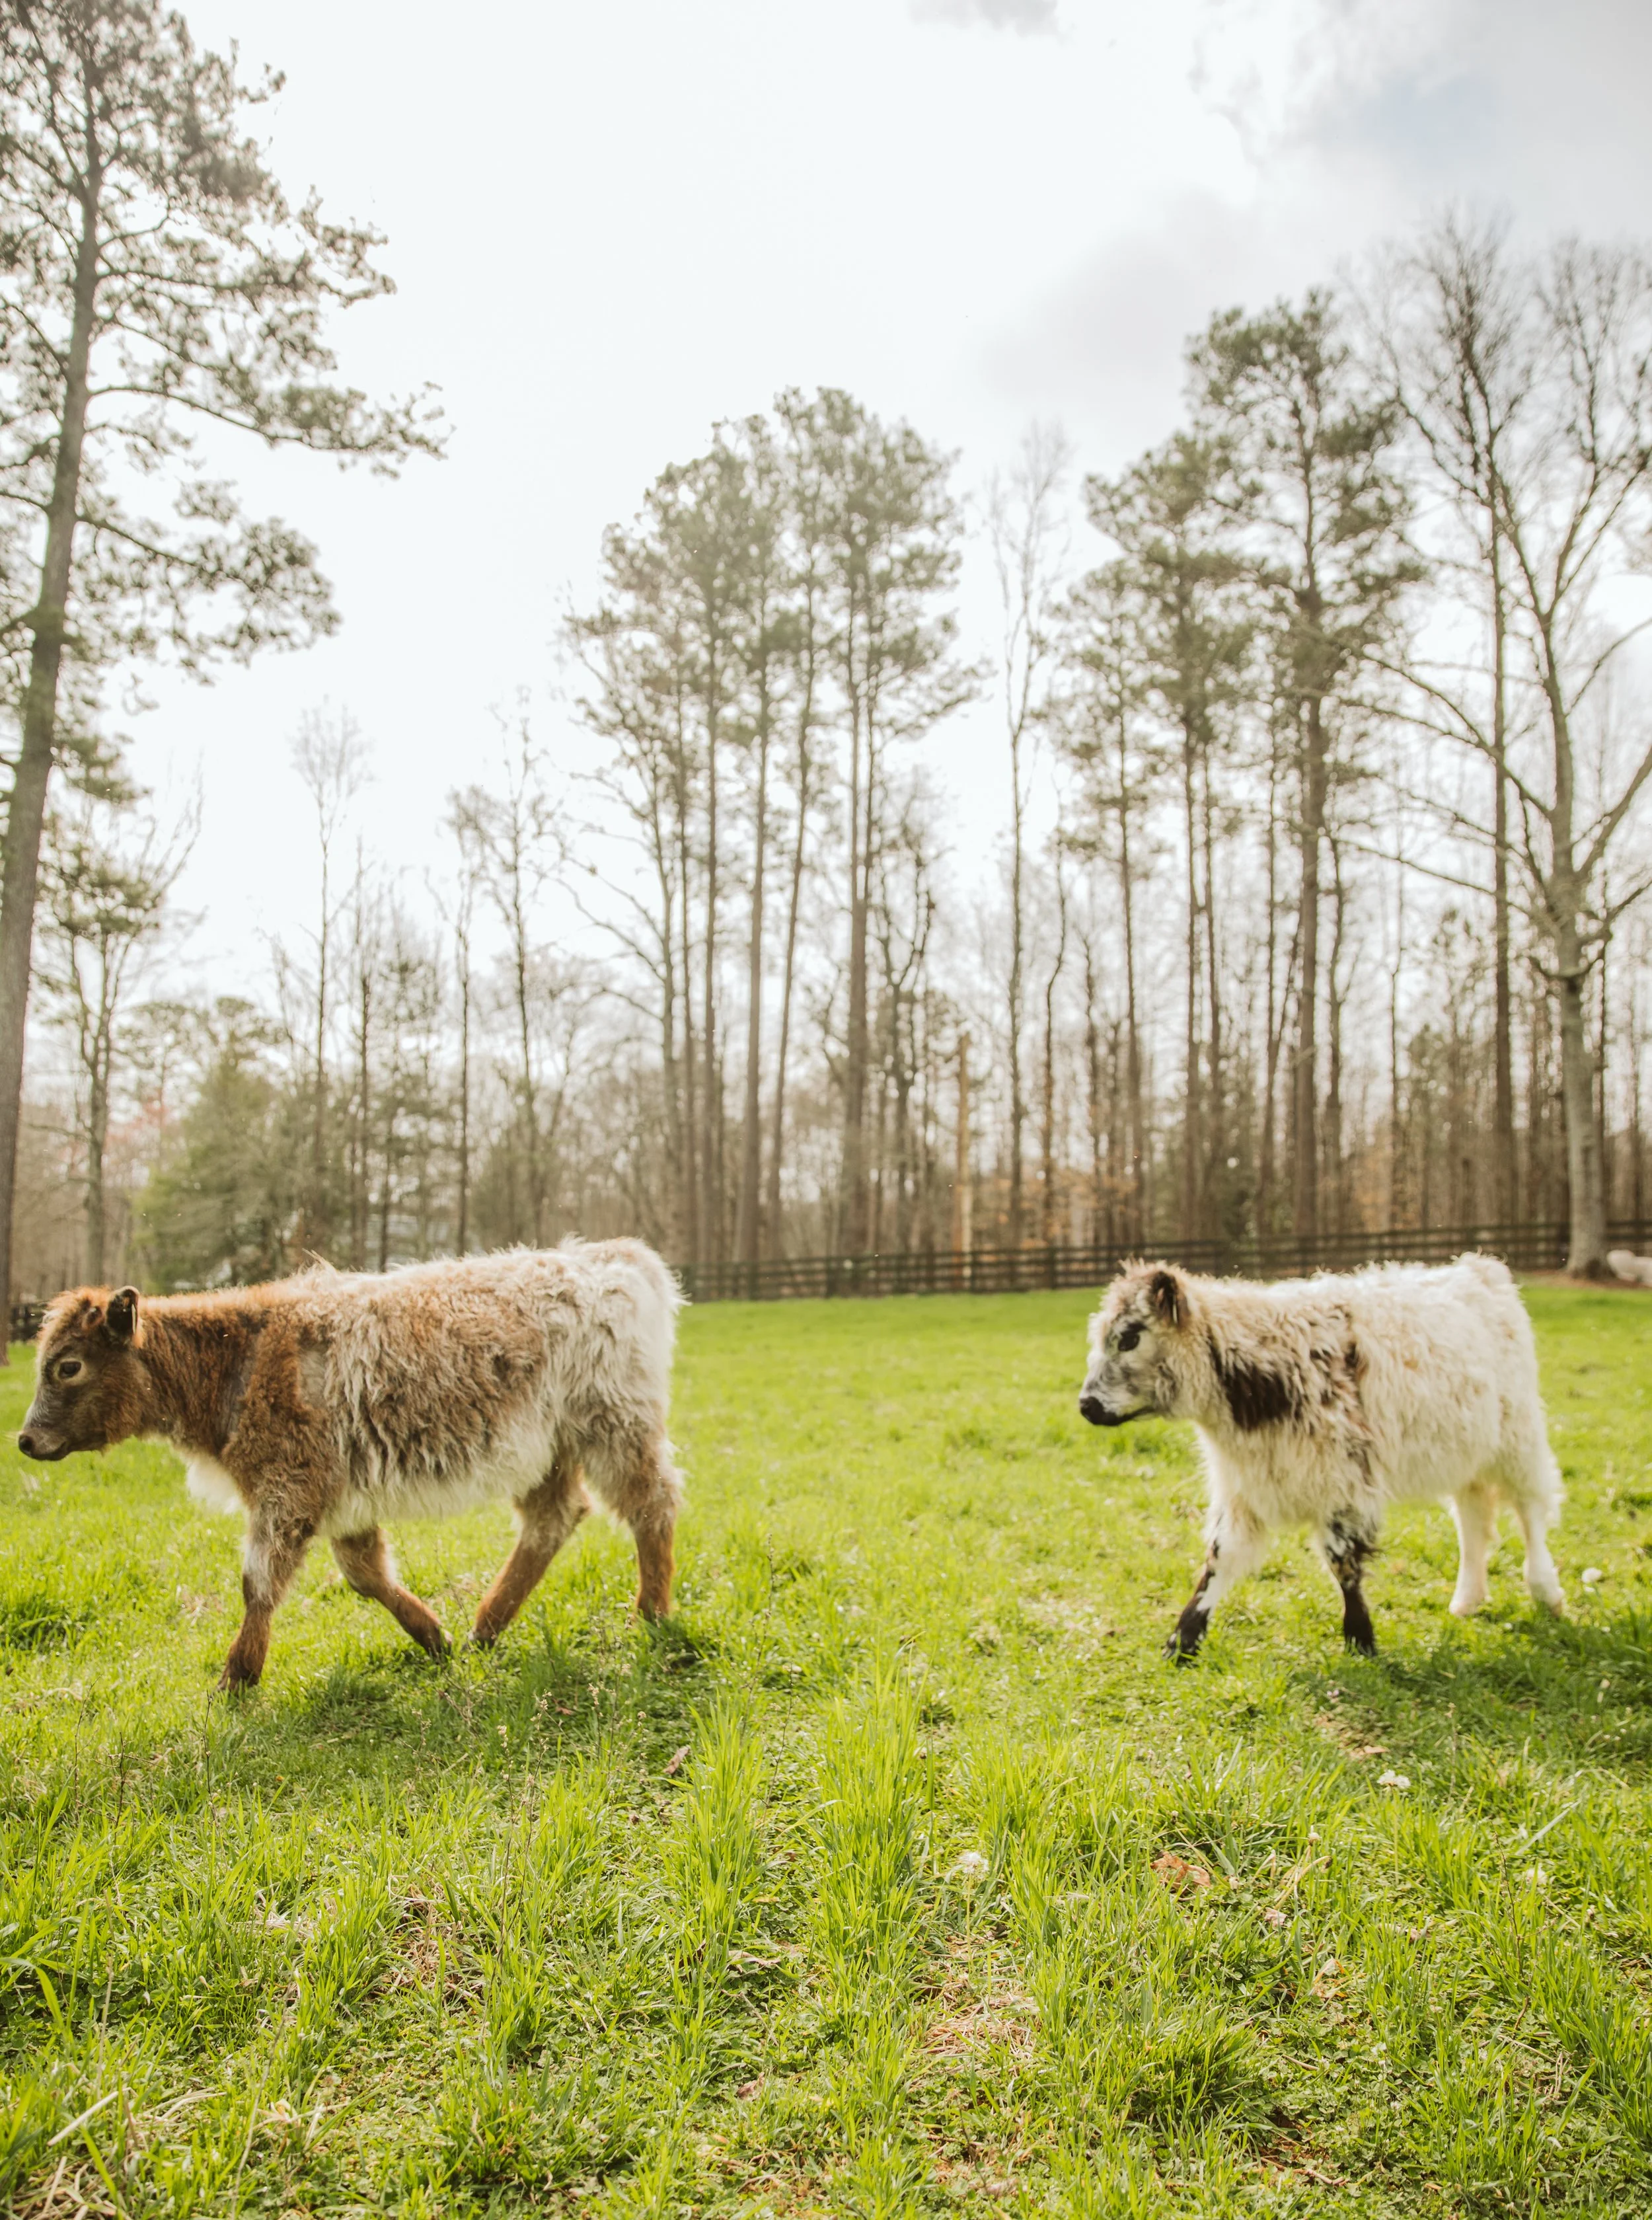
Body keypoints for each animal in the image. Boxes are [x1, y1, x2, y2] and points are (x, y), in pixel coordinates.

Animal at [16, 1240, 684, 1690]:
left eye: (68, 1366)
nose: (25, 1438)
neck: (239, 1358)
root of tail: (614, 1256)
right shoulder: (338, 1494)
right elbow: (365, 1573)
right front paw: (433, 1636)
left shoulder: (287, 1488)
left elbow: (259, 1584)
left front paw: (237, 1676)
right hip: (549, 1449)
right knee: (553, 1519)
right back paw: (485, 1626)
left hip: (615, 1425)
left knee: (651, 1502)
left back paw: (652, 1614)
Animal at [1078, 1253, 1565, 1660]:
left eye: (1130, 1337)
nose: (1086, 1405)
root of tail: (1478, 1268)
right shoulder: (1243, 1488)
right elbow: (1220, 1560)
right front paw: (1183, 1641)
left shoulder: (1343, 1481)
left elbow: (1342, 1561)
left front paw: (1361, 1639)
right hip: (1466, 1450)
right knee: (1472, 1518)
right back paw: (1467, 1599)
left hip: (1517, 1439)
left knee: (1529, 1510)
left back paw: (1546, 1591)